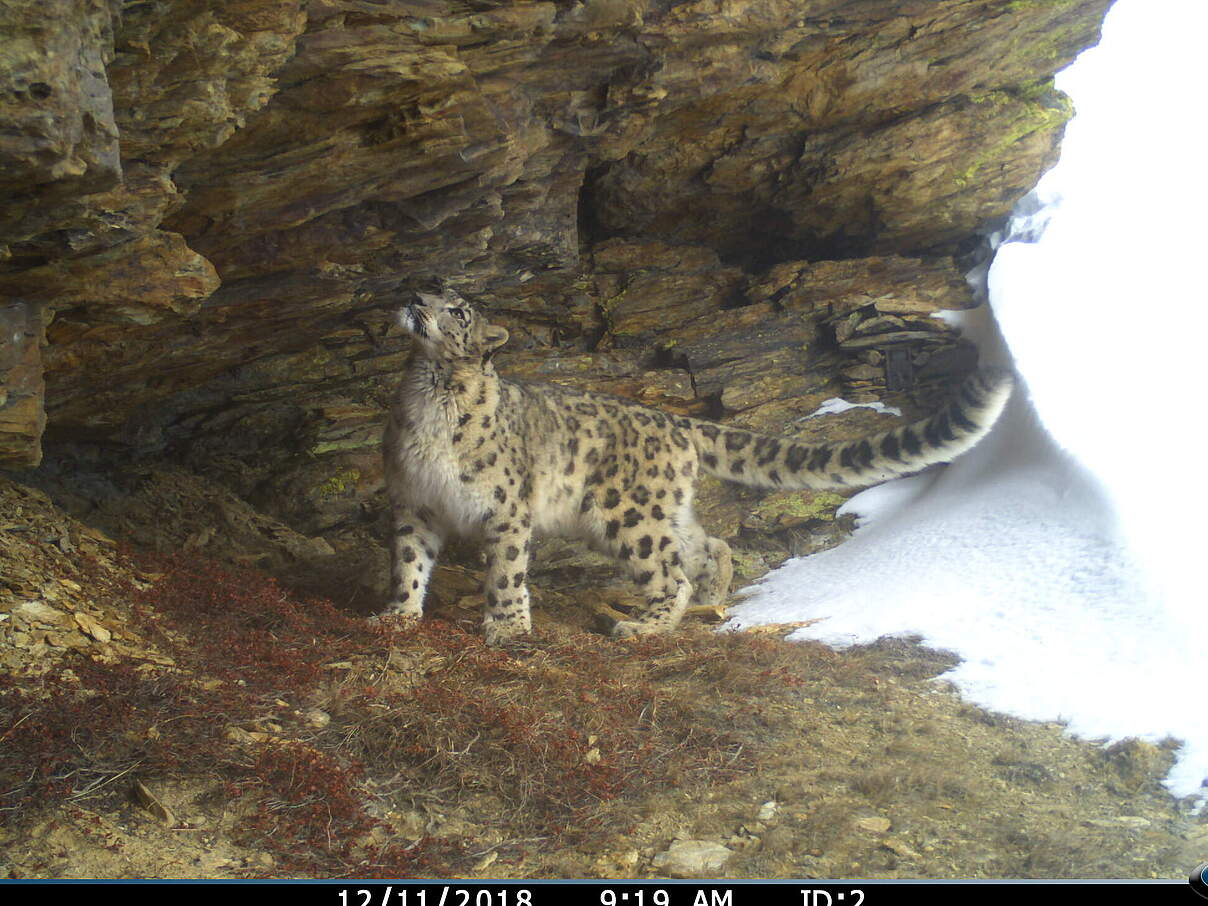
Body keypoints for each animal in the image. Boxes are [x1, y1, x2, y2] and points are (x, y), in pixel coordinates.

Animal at [381, 287, 1014, 642]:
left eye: (456, 310)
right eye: (429, 292)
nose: (413, 300)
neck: (429, 390)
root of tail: (675, 422)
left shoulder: (506, 508)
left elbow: (507, 570)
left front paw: (507, 627)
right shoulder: (413, 500)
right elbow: (408, 560)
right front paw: (397, 614)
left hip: (625, 514)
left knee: (670, 573)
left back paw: (643, 625)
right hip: (650, 514)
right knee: (706, 544)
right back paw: (713, 597)